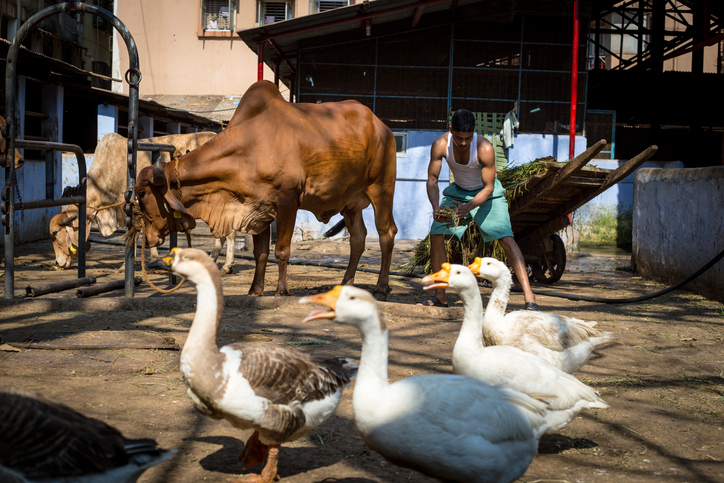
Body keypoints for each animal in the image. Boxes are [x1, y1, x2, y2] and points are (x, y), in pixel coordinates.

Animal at [134, 80, 396, 298]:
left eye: (141, 194)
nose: (147, 237)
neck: (248, 149)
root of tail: (382, 126)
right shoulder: (256, 209)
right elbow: (260, 254)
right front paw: (255, 290)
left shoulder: (287, 203)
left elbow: (281, 250)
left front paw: (281, 290)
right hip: (350, 203)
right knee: (358, 239)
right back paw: (347, 284)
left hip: (382, 190)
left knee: (386, 234)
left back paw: (381, 288)